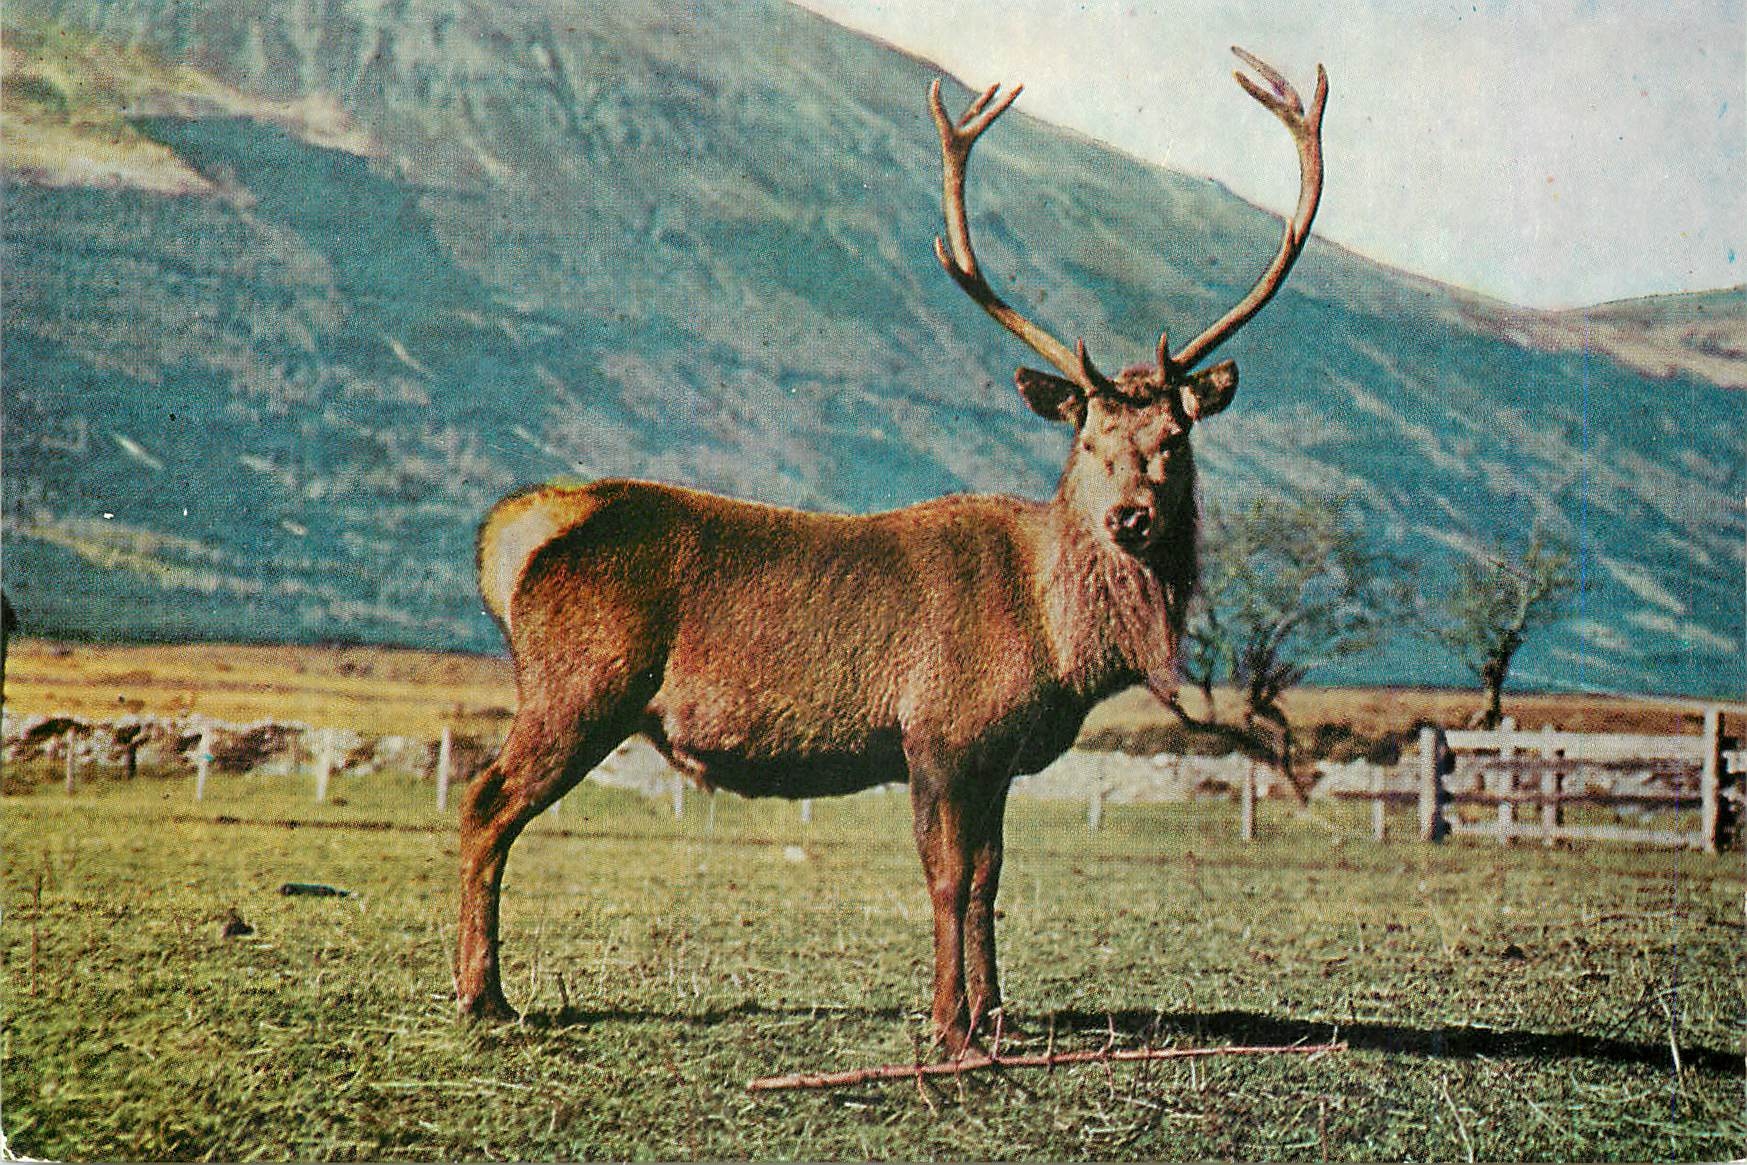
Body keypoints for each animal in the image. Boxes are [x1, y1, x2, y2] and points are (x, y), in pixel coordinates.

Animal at [456, 48, 1327, 1057]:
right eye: (1088, 440)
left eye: (1173, 440)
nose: (1130, 519)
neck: (1058, 645)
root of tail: (518, 531)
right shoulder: (939, 731)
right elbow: (946, 878)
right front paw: (951, 1027)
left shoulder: (994, 752)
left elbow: (990, 879)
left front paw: (995, 1015)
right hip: (580, 686)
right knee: (483, 804)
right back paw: (481, 993)